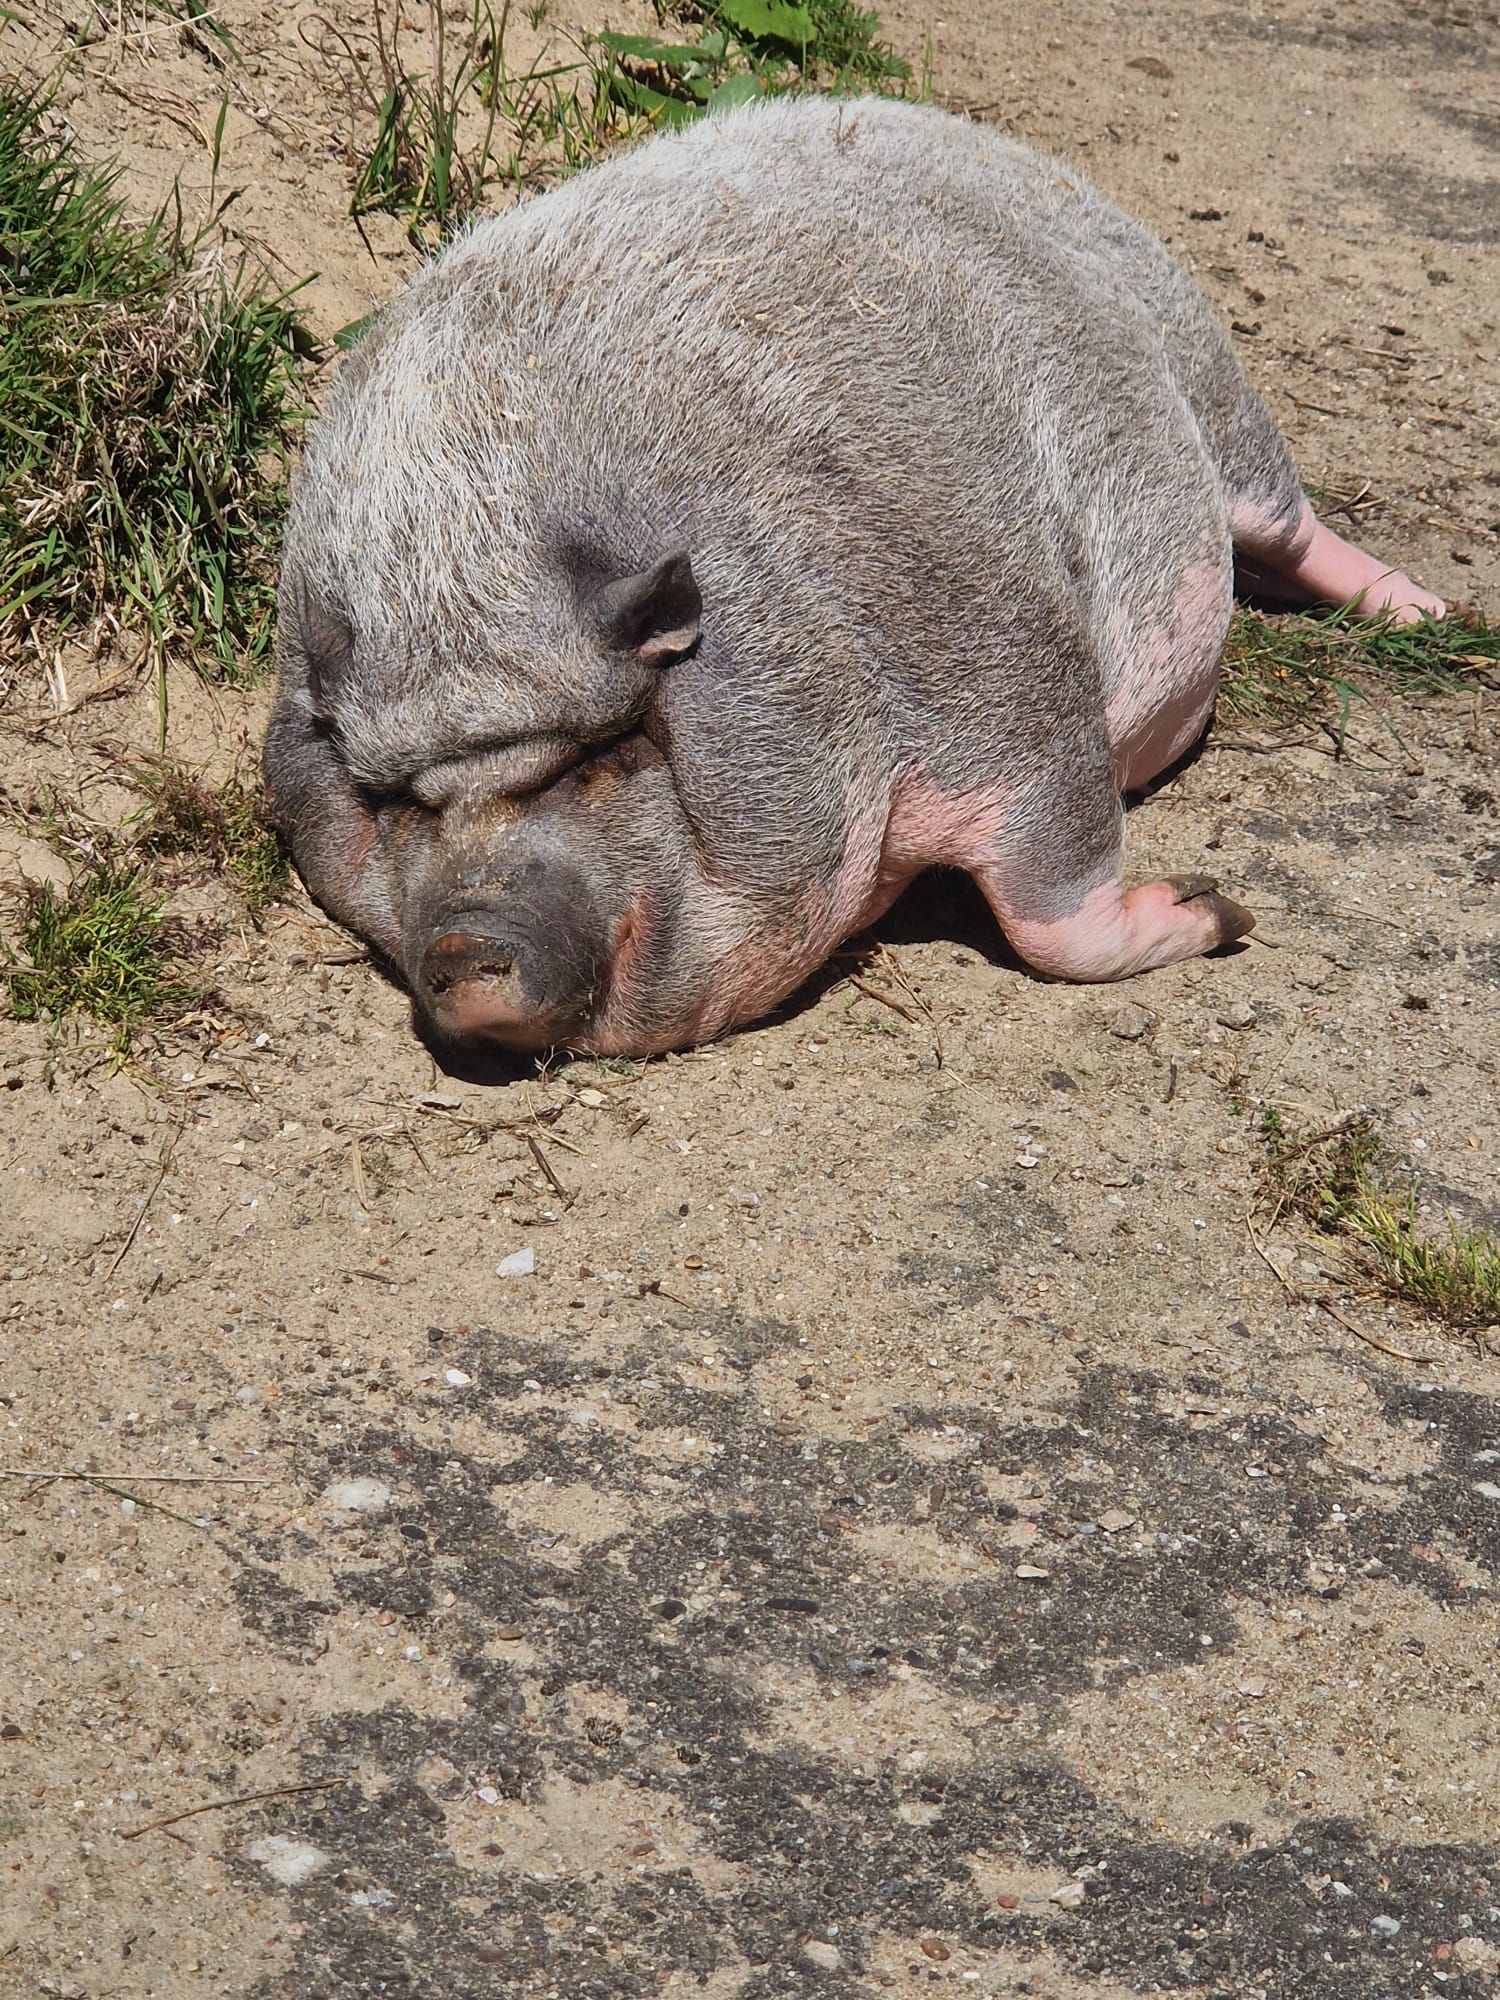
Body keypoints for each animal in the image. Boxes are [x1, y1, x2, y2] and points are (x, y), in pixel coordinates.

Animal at [265, 94, 1445, 1057]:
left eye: (605, 756)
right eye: (391, 800)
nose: (465, 942)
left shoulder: (1006, 674)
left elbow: (1053, 903)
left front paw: (1225, 914)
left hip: (1211, 378)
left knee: (1287, 523)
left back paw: (1429, 610)